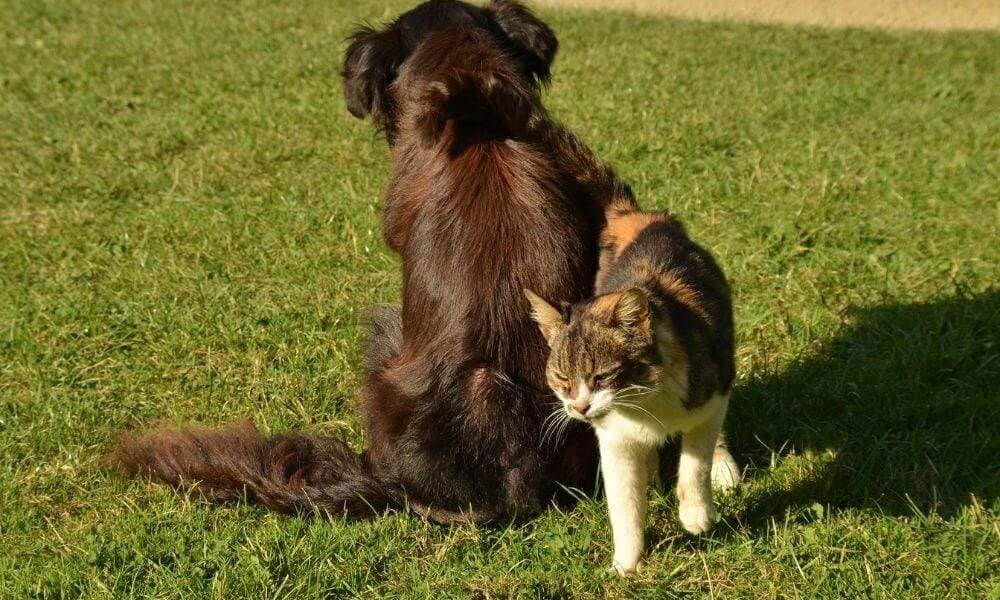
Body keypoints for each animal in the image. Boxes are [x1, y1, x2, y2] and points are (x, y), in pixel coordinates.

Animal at [528, 209, 740, 576]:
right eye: (561, 377)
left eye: (602, 376)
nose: (579, 407)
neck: (643, 401)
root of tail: (642, 217)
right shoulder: (614, 438)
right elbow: (623, 504)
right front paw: (625, 565)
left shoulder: (712, 396)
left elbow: (695, 459)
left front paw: (695, 515)